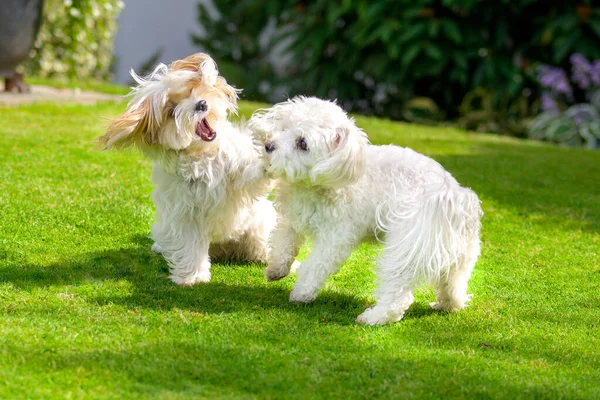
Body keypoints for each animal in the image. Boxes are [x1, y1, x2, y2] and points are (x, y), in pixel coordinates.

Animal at [99, 54, 276, 284]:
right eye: (172, 111)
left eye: (191, 92)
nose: (201, 104)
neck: (201, 154)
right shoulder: (185, 211)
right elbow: (190, 243)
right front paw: (193, 276)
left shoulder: (238, 169)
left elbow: (252, 173)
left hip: (257, 224)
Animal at [250, 96, 482, 324]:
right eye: (284, 127)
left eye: (303, 143)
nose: (268, 145)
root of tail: (454, 197)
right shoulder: (293, 219)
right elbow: (283, 244)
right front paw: (276, 269)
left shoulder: (337, 238)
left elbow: (316, 265)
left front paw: (302, 293)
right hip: (460, 259)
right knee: (452, 286)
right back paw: (446, 305)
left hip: (406, 252)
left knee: (399, 296)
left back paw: (374, 317)